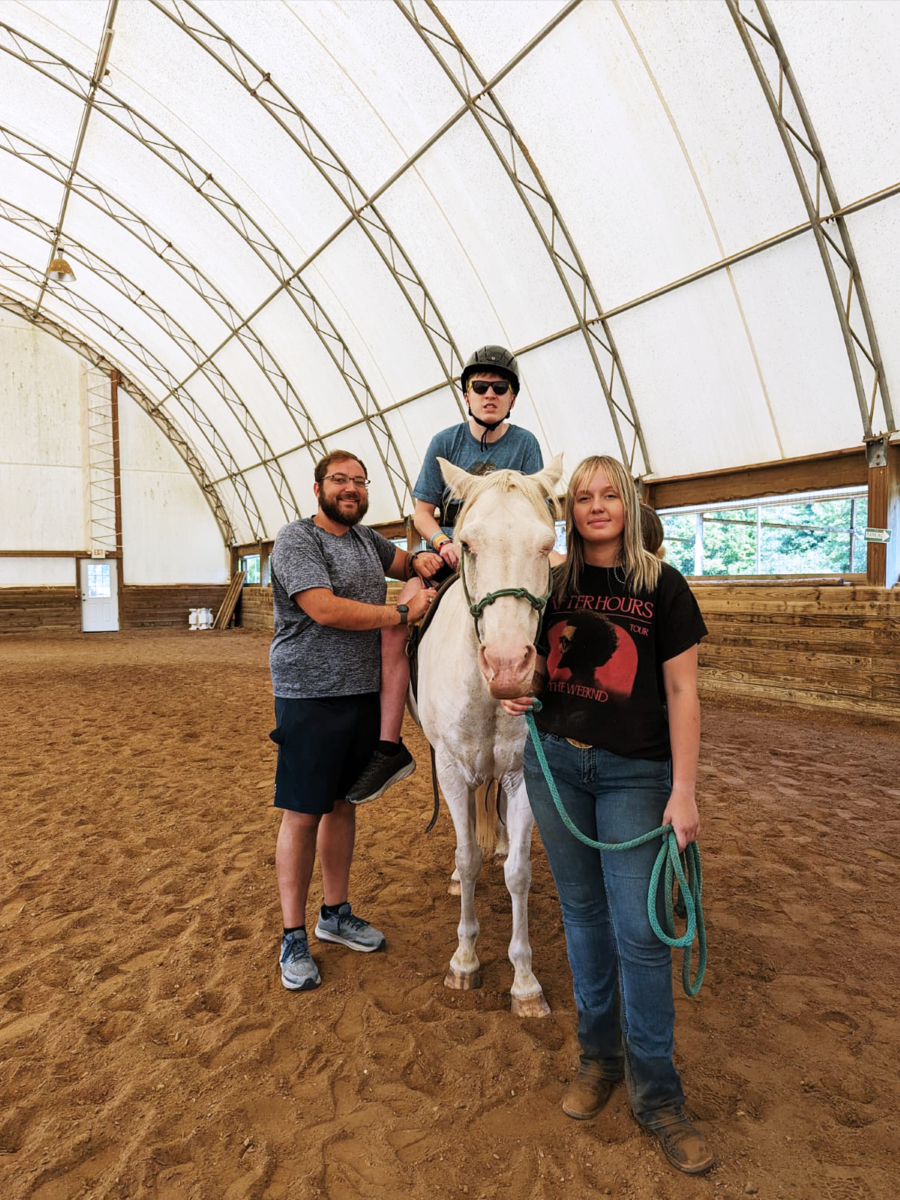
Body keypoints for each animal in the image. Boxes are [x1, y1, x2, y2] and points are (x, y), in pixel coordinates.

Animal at [415, 453, 564, 1017]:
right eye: (468, 545)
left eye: (545, 545)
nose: (506, 667)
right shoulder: (451, 770)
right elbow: (466, 856)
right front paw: (464, 959)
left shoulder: (523, 774)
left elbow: (518, 871)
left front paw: (524, 981)